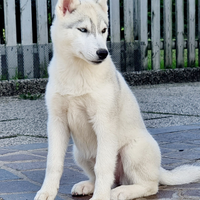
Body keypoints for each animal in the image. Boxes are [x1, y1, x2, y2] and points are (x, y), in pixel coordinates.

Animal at [35, 0, 200, 200]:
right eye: (83, 29)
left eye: (104, 30)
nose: (103, 53)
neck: (77, 72)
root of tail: (159, 170)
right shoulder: (56, 122)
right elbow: (53, 163)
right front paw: (47, 192)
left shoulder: (104, 122)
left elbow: (103, 167)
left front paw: (100, 197)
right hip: (80, 152)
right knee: (108, 178)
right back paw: (88, 186)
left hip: (132, 151)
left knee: (149, 185)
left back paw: (121, 191)